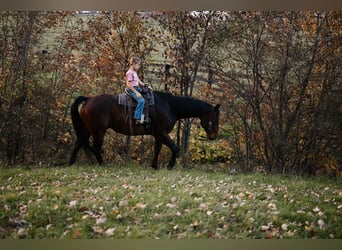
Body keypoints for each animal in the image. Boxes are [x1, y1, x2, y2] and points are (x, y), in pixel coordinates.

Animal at [68, 90, 220, 170]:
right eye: (215, 118)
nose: (214, 136)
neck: (169, 106)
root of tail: (89, 99)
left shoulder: (159, 135)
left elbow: (157, 149)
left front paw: (155, 165)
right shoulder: (162, 133)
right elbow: (175, 148)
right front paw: (170, 165)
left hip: (87, 129)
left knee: (78, 144)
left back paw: (71, 164)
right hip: (99, 131)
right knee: (95, 147)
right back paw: (101, 164)